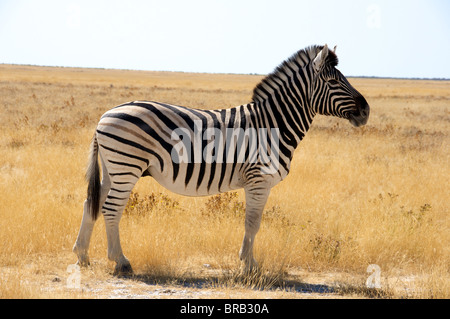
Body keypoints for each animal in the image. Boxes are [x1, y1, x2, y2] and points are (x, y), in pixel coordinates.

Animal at [73, 44, 370, 276]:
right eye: (333, 82)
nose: (366, 110)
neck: (273, 124)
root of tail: (105, 114)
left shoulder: (259, 182)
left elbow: (253, 222)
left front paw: (248, 263)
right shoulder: (258, 179)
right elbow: (253, 222)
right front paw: (249, 267)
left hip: (113, 169)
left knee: (92, 203)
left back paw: (82, 256)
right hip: (127, 166)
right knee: (111, 209)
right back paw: (121, 262)